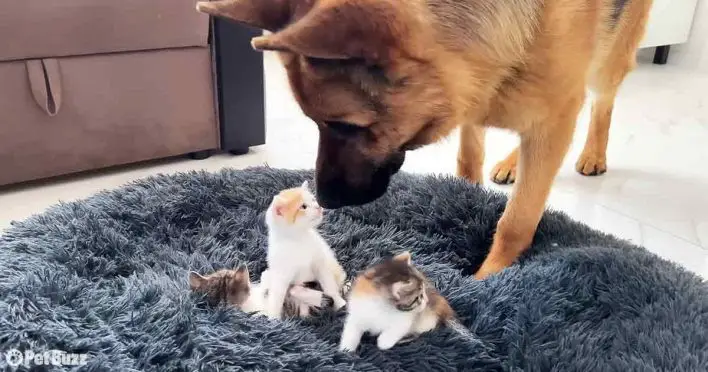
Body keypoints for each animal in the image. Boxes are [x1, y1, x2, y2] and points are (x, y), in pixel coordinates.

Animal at [196, 0, 648, 280]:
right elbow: (469, 157)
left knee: (602, 101)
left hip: (606, 63)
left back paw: (592, 153)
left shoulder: (552, 117)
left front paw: (488, 277)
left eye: (345, 125)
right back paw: (510, 161)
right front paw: (465, 196)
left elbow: (517, 221)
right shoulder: (472, 93)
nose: (324, 199)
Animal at [262, 181, 346, 320]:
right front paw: (274, 319)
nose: (318, 207)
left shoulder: (320, 264)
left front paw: (339, 303)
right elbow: (277, 296)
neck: (299, 240)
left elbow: (329, 285)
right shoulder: (281, 273)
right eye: (303, 207)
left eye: (313, 200)